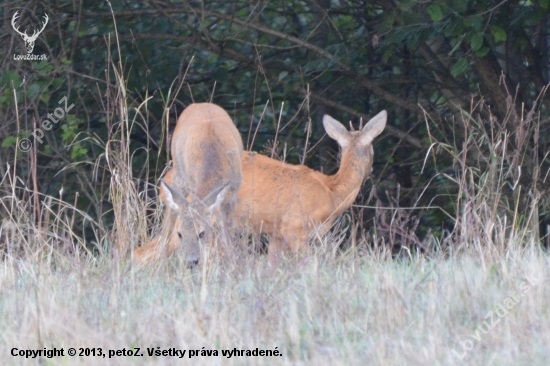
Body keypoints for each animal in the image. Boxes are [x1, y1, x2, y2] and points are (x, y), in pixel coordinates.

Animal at [133, 103, 242, 266]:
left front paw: (232, 263)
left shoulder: (232, 196)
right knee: (168, 222)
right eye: (180, 234)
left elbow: (227, 234)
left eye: (201, 233)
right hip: (179, 174)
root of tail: (199, 104)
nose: (191, 261)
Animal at [137, 108, 388, 260]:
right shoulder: (295, 227)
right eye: (374, 149)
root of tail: (165, 181)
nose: (372, 169)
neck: (332, 191)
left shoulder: (276, 233)